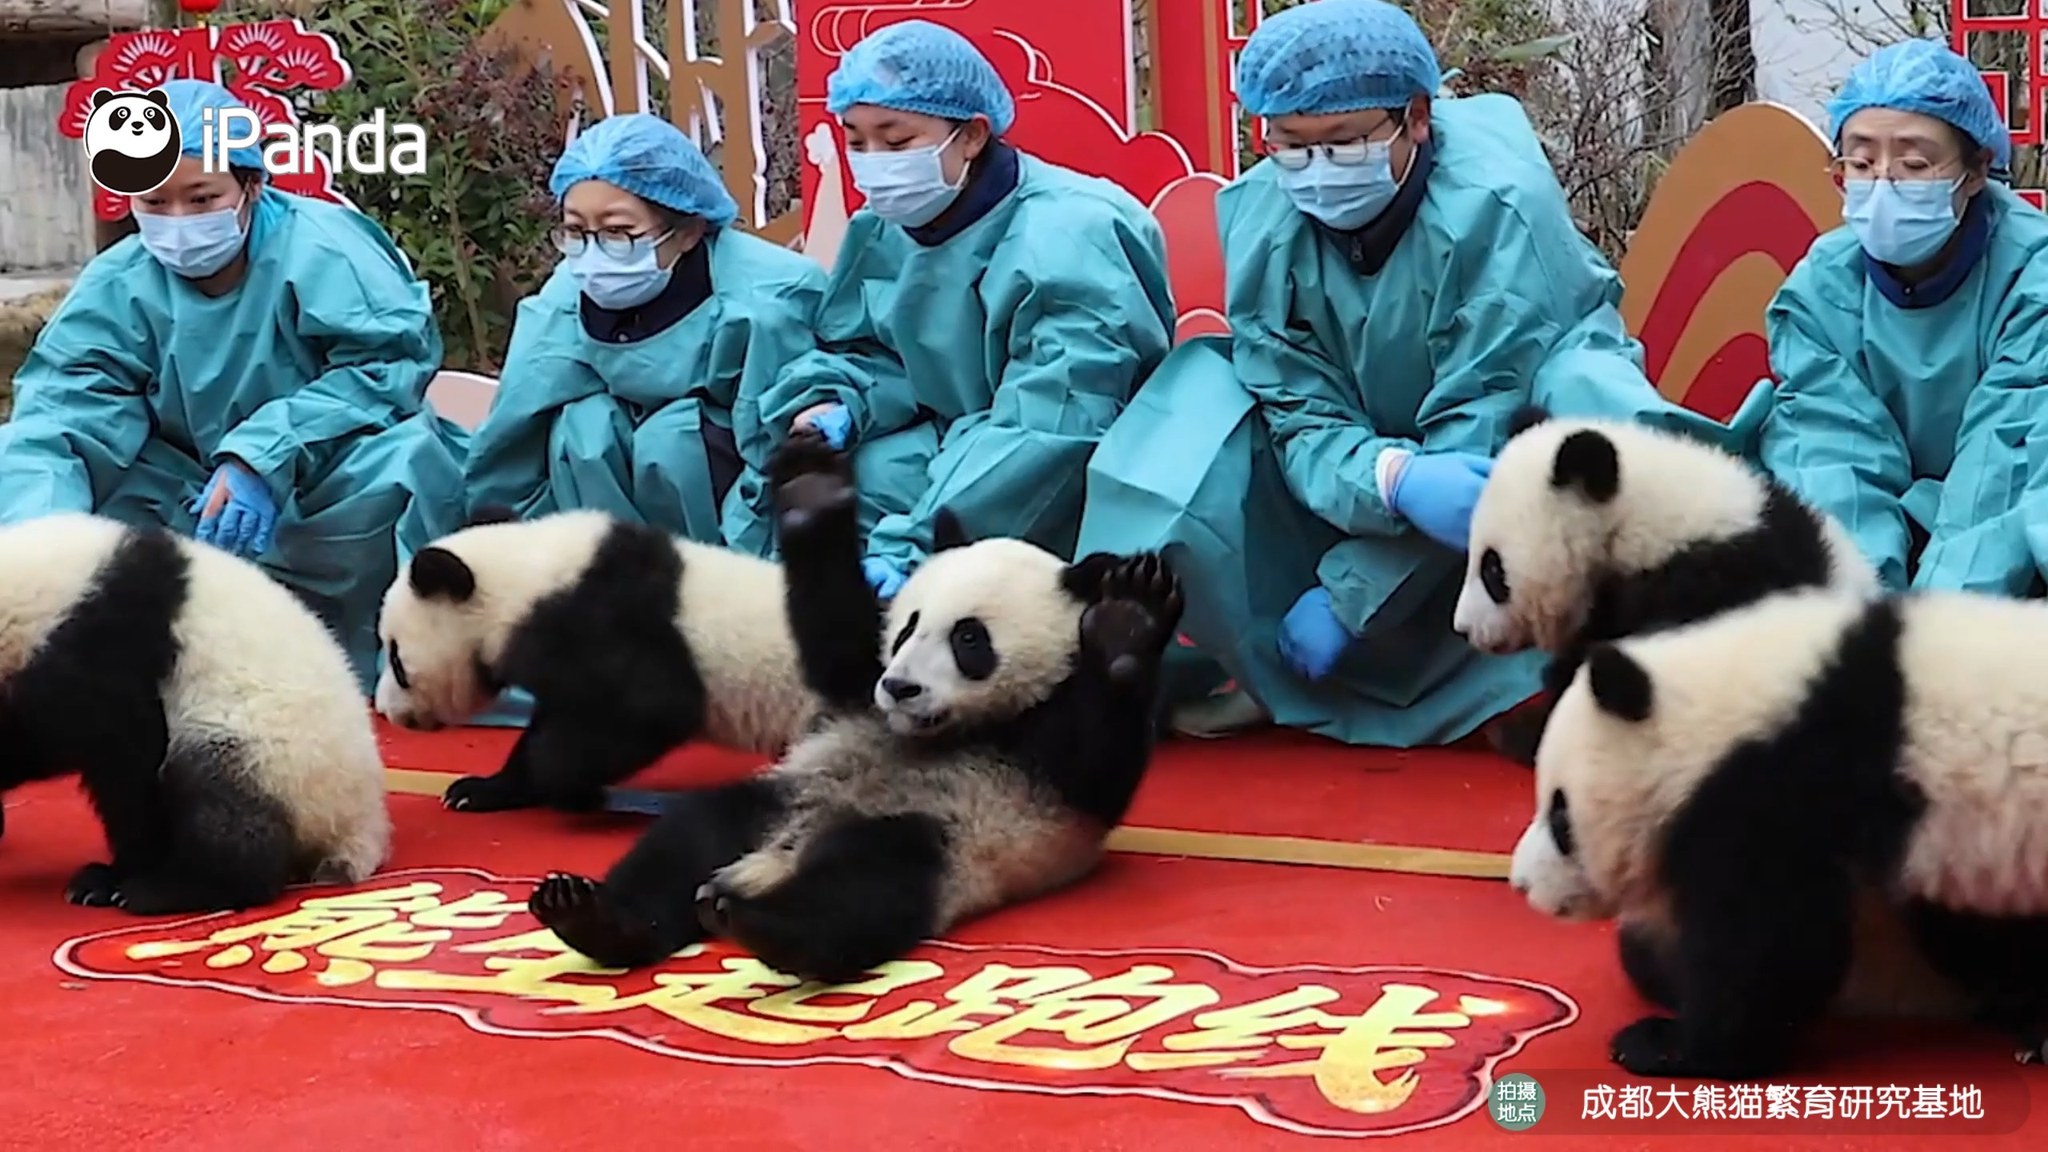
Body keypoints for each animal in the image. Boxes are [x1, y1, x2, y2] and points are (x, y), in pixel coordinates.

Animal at [0, 513, 389, 914]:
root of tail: (361, 825)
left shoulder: (99, 644)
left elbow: (120, 754)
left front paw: (123, 875)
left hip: (275, 754)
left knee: (215, 797)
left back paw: (170, 889)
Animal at [374, 509, 819, 815]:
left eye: (396, 659)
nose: (389, 712)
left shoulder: (602, 625)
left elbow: (652, 708)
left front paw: (570, 788)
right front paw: (478, 791)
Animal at [524, 431, 1185, 984]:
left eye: (969, 639)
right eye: (908, 626)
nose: (900, 688)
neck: (959, 728)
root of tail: (779, 857)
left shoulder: (1043, 771)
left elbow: (1097, 761)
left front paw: (1129, 615)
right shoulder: (857, 694)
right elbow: (838, 647)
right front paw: (811, 488)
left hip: (949, 839)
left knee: (864, 891)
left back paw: (762, 926)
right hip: (786, 794)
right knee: (691, 834)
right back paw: (599, 918)